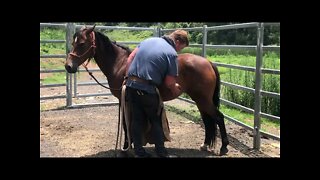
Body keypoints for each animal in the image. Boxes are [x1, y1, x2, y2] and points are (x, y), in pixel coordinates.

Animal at [65, 25, 229, 156]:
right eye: (73, 42)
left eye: (82, 43)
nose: (68, 66)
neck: (119, 63)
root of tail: (207, 62)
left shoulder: (124, 100)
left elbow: (126, 124)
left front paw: (126, 147)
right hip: (200, 100)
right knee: (208, 120)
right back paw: (205, 145)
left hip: (203, 100)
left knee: (218, 117)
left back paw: (224, 147)